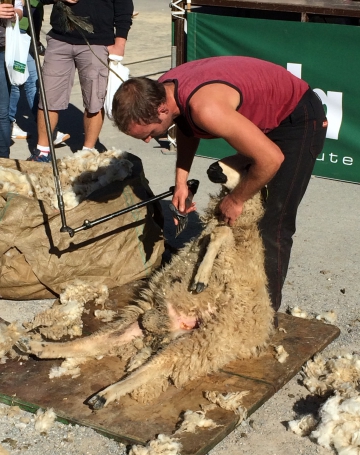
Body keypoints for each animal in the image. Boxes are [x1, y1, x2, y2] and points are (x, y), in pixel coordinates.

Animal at [16, 158, 274, 410]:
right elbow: (219, 234)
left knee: (154, 365)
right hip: (143, 319)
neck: (243, 225)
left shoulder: (234, 257)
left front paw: (201, 277)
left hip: (201, 341)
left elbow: (220, 234)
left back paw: (104, 395)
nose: (212, 167)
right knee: (97, 343)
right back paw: (38, 347)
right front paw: (201, 275)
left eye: (248, 165)